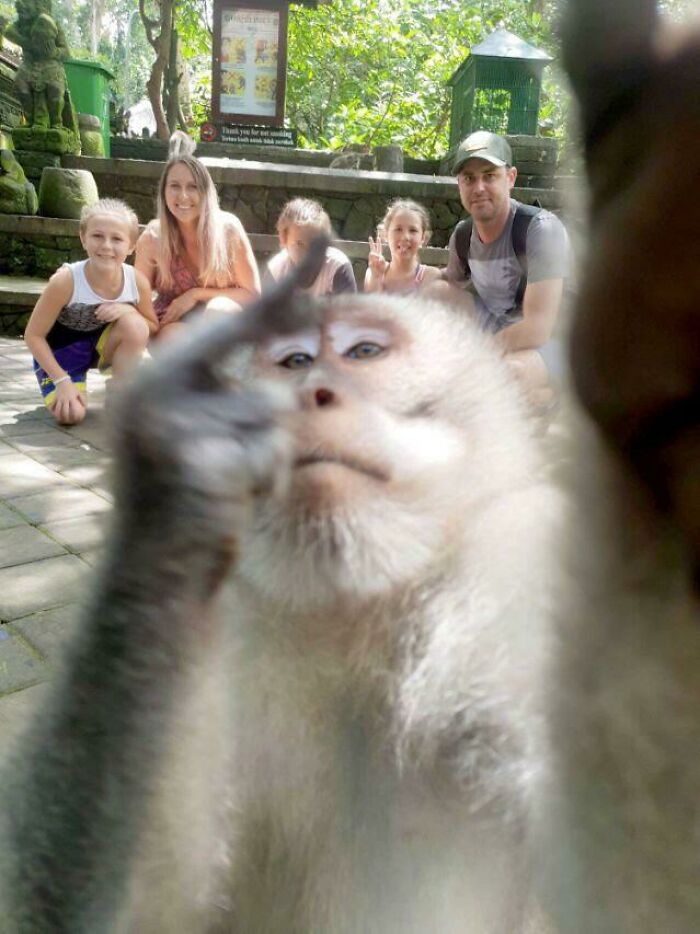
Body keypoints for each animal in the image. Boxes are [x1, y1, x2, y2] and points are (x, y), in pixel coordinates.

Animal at [0, 243, 558, 932]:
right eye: (294, 362)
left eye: (363, 352)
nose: (313, 395)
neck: (353, 619)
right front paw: (183, 469)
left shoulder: (521, 565)